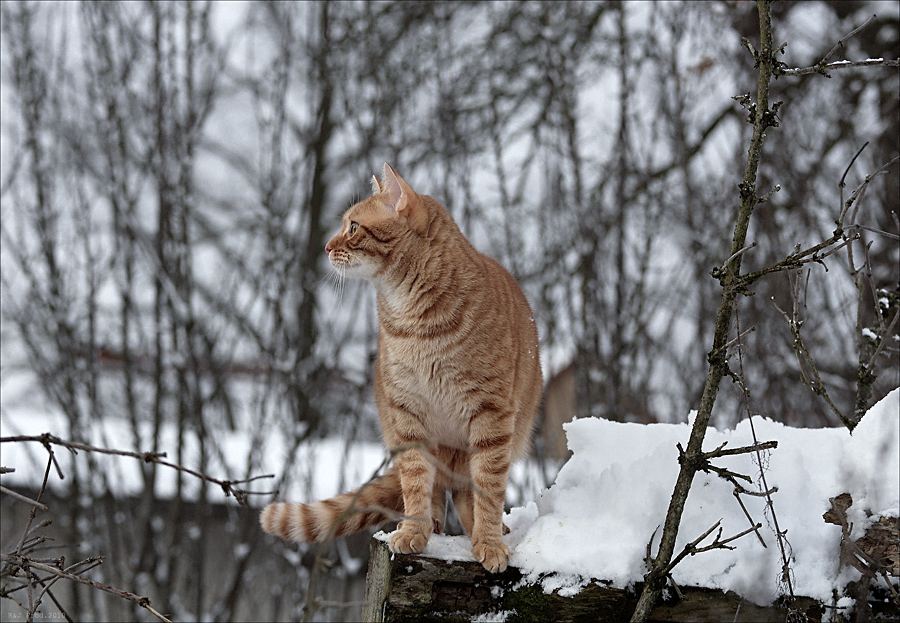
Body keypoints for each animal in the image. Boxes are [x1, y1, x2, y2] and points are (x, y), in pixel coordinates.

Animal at [260, 163, 540, 572]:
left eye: (353, 227)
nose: (327, 247)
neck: (416, 324)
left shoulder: (490, 415)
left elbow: (488, 488)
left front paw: (488, 541)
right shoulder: (407, 414)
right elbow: (415, 481)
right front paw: (414, 531)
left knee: (466, 491)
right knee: (441, 489)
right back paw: (435, 525)